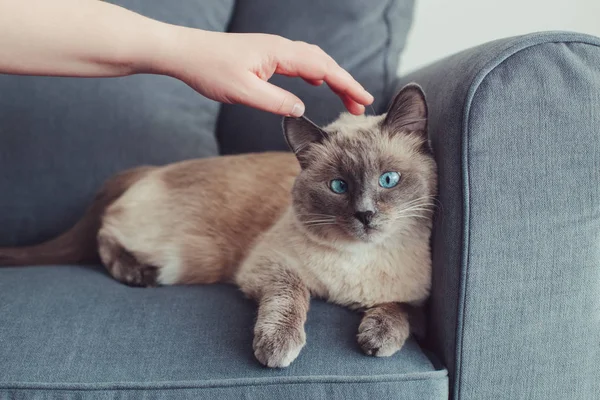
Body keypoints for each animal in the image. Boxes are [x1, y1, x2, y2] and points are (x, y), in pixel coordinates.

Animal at [0, 82, 436, 368]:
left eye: (388, 180)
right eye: (338, 186)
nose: (365, 215)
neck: (357, 260)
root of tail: (151, 169)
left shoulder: (418, 300)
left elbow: (399, 309)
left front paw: (376, 339)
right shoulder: (270, 267)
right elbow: (290, 298)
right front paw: (276, 349)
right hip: (186, 259)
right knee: (105, 236)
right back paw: (138, 275)